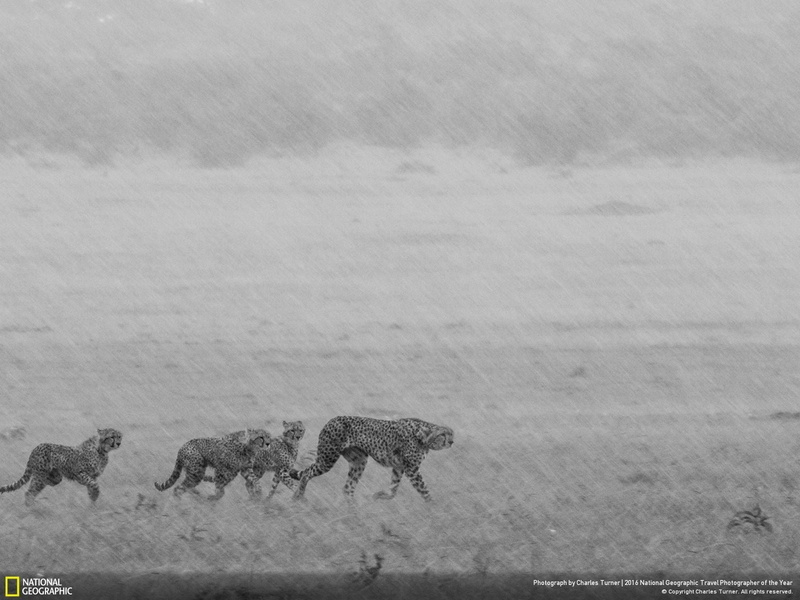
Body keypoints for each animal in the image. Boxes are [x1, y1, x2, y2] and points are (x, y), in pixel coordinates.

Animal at [290, 416, 453, 502]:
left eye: (452, 434)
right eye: (442, 435)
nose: (451, 442)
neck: (423, 437)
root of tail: (332, 419)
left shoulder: (399, 467)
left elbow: (393, 490)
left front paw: (377, 495)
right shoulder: (411, 469)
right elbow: (424, 490)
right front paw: (433, 507)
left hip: (359, 461)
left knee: (348, 488)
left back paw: (353, 513)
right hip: (327, 458)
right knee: (306, 473)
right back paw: (298, 496)